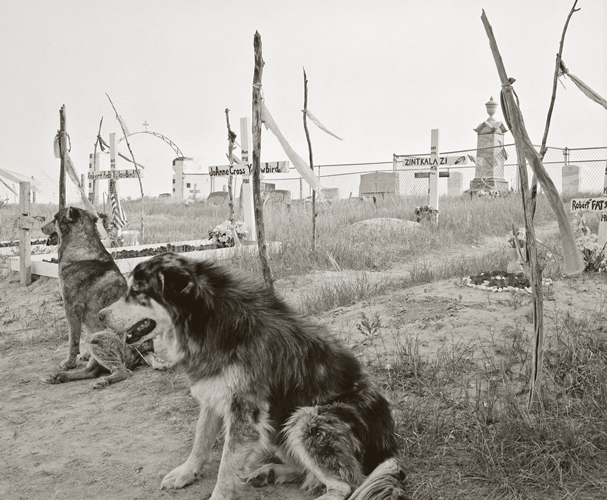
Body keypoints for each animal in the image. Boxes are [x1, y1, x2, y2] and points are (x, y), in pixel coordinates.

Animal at [41, 207, 165, 390]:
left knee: (123, 372)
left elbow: (72, 340)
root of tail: (146, 350)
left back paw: (99, 380)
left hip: (98, 340)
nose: (41, 227)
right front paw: (82, 357)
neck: (81, 245)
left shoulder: (71, 307)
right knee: (91, 371)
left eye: (55, 218)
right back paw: (59, 377)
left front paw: (69, 362)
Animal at [100, 254, 410, 500]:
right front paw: (186, 472)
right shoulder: (212, 397)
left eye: (136, 291)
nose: (100, 315)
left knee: (347, 483)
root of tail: (389, 447)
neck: (206, 320)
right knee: (310, 473)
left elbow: (225, 468)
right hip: (279, 425)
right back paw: (270, 472)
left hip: (306, 419)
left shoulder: (244, 412)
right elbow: (200, 440)